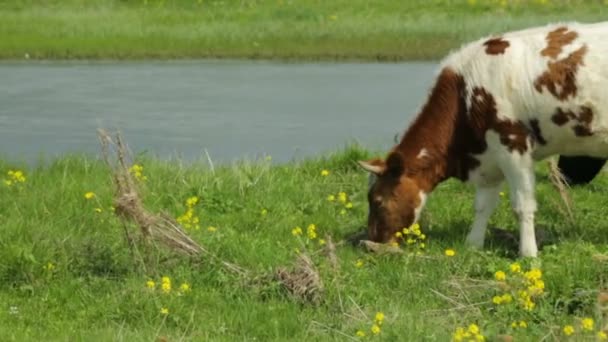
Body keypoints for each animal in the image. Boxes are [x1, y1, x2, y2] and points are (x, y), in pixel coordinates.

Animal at [358, 22, 608, 256]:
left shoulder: (513, 144)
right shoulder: (488, 156)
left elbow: (522, 205)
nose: (372, 241)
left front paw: (528, 253)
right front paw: (473, 245)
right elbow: (482, 206)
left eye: (377, 200)